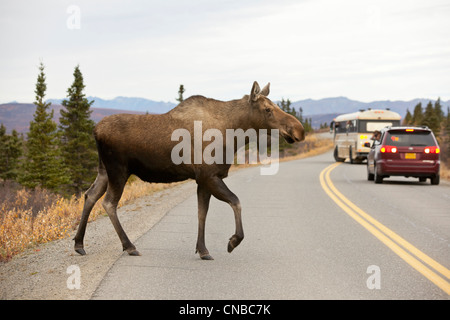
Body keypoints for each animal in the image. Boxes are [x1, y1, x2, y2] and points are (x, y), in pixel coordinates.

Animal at [74, 82, 306, 260]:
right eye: (268, 110)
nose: (299, 130)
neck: (234, 134)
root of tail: (95, 131)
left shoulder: (203, 180)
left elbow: (202, 213)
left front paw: (202, 250)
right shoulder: (209, 175)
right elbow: (236, 201)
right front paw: (232, 241)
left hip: (104, 170)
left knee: (90, 195)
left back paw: (79, 244)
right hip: (118, 170)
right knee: (108, 203)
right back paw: (129, 246)